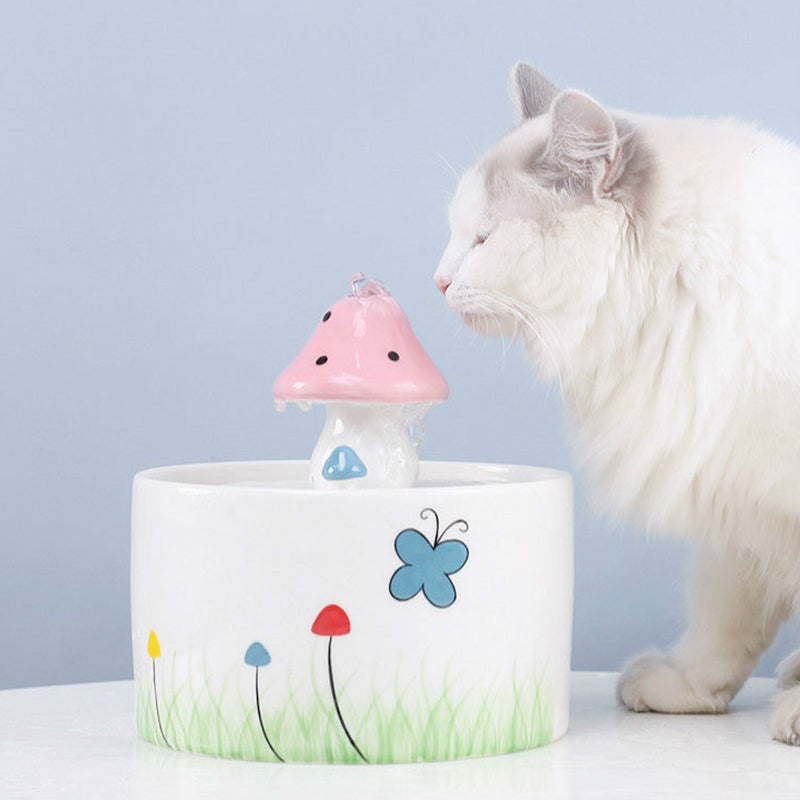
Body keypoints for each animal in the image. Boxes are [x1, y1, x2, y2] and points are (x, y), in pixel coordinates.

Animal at [438, 62, 800, 744]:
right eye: (455, 234)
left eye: (484, 239)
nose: (438, 281)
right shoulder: (736, 494)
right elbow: (723, 625)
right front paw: (686, 689)